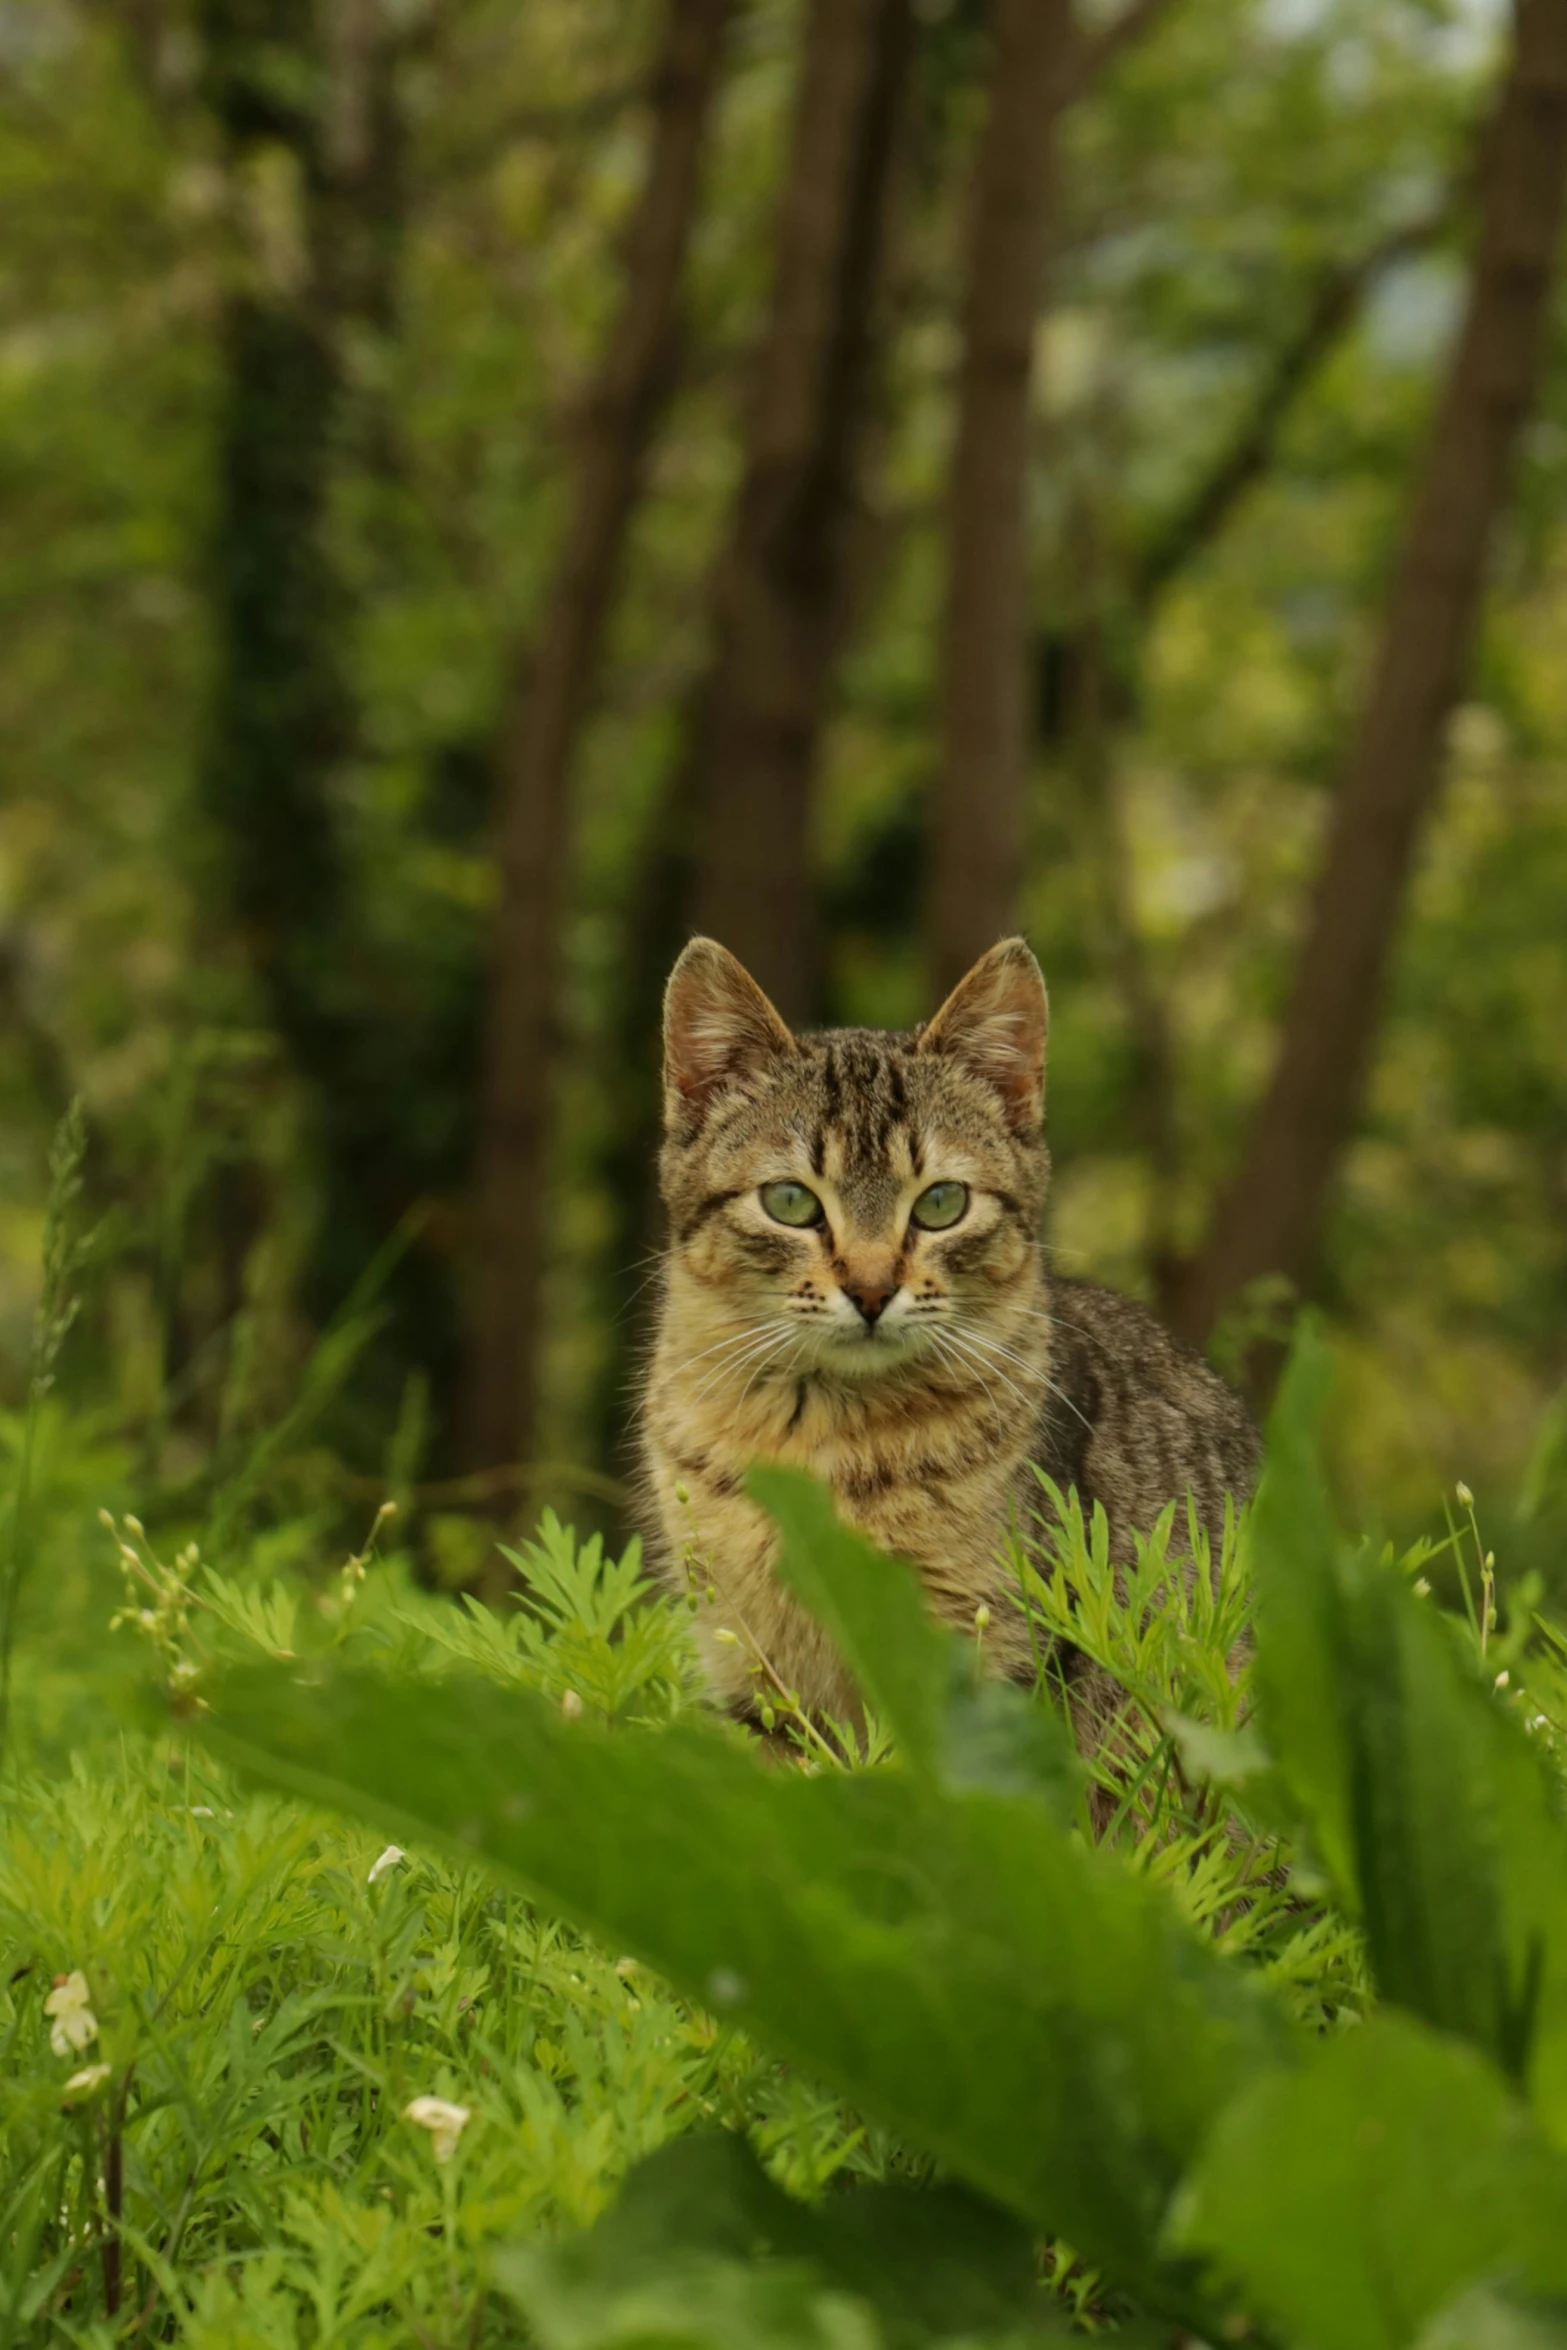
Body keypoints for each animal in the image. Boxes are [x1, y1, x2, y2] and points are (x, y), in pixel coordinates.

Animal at [629, 925, 1259, 1738]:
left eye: (941, 1204)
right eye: (790, 1201)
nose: (870, 1290)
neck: (827, 1440)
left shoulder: (994, 1655)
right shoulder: (752, 1672)